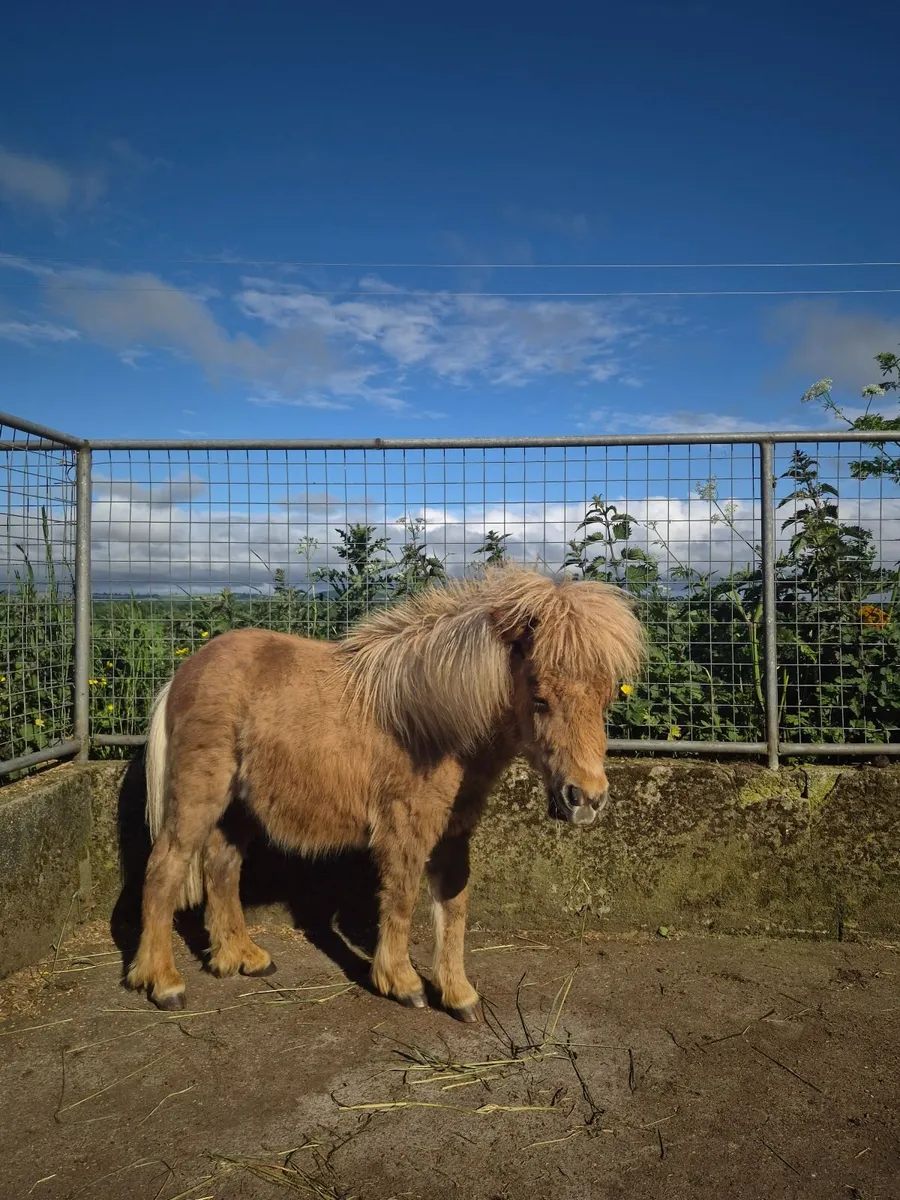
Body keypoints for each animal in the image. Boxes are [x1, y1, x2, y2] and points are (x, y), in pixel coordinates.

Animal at [126, 565, 645, 1021]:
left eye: (605, 697)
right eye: (539, 698)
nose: (586, 798)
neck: (435, 722)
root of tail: (183, 673)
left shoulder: (454, 834)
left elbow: (453, 906)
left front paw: (458, 994)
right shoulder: (406, 830)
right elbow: (401, 899)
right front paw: (402, 983)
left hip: (238, 809)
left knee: (221, 868)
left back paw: (240, 956)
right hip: (199, 796)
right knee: (164, 869)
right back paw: (164, 982)